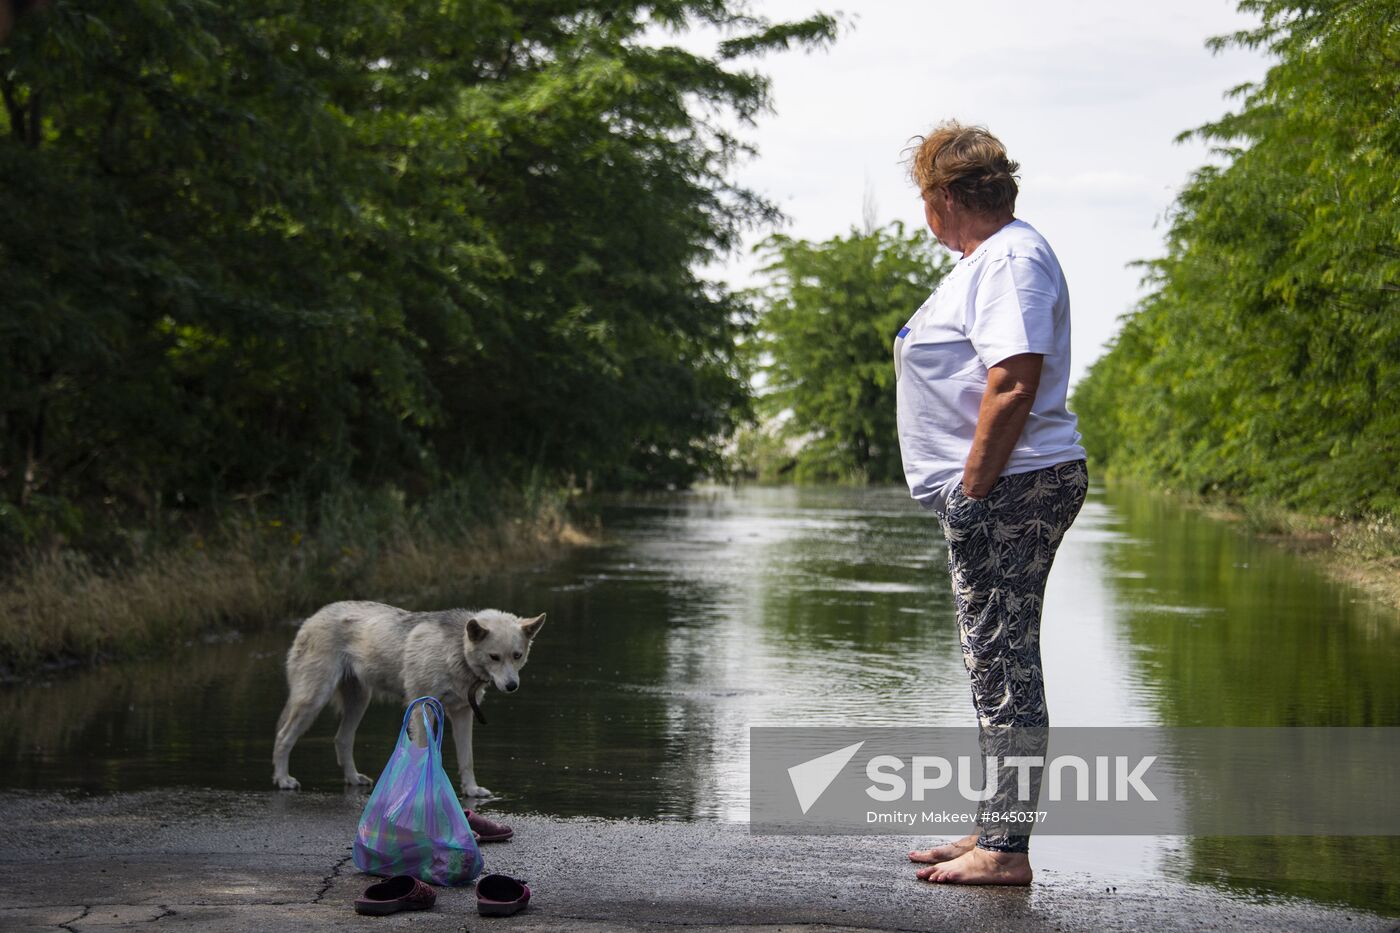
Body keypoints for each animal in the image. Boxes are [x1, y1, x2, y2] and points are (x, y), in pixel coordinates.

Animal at [270, 602, 543, 790]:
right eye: (494, 657)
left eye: (517, 656)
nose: (511, 686)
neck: (456, 651)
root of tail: (312, 617)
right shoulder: (423, 710)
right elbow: (425, 751)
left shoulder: (462, 713)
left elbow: (467, 759)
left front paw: (472, 790)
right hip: (313, 700)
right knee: (283, 737)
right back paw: (283, 779)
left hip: (358, 702)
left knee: (342, 740)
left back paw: (353, 778)